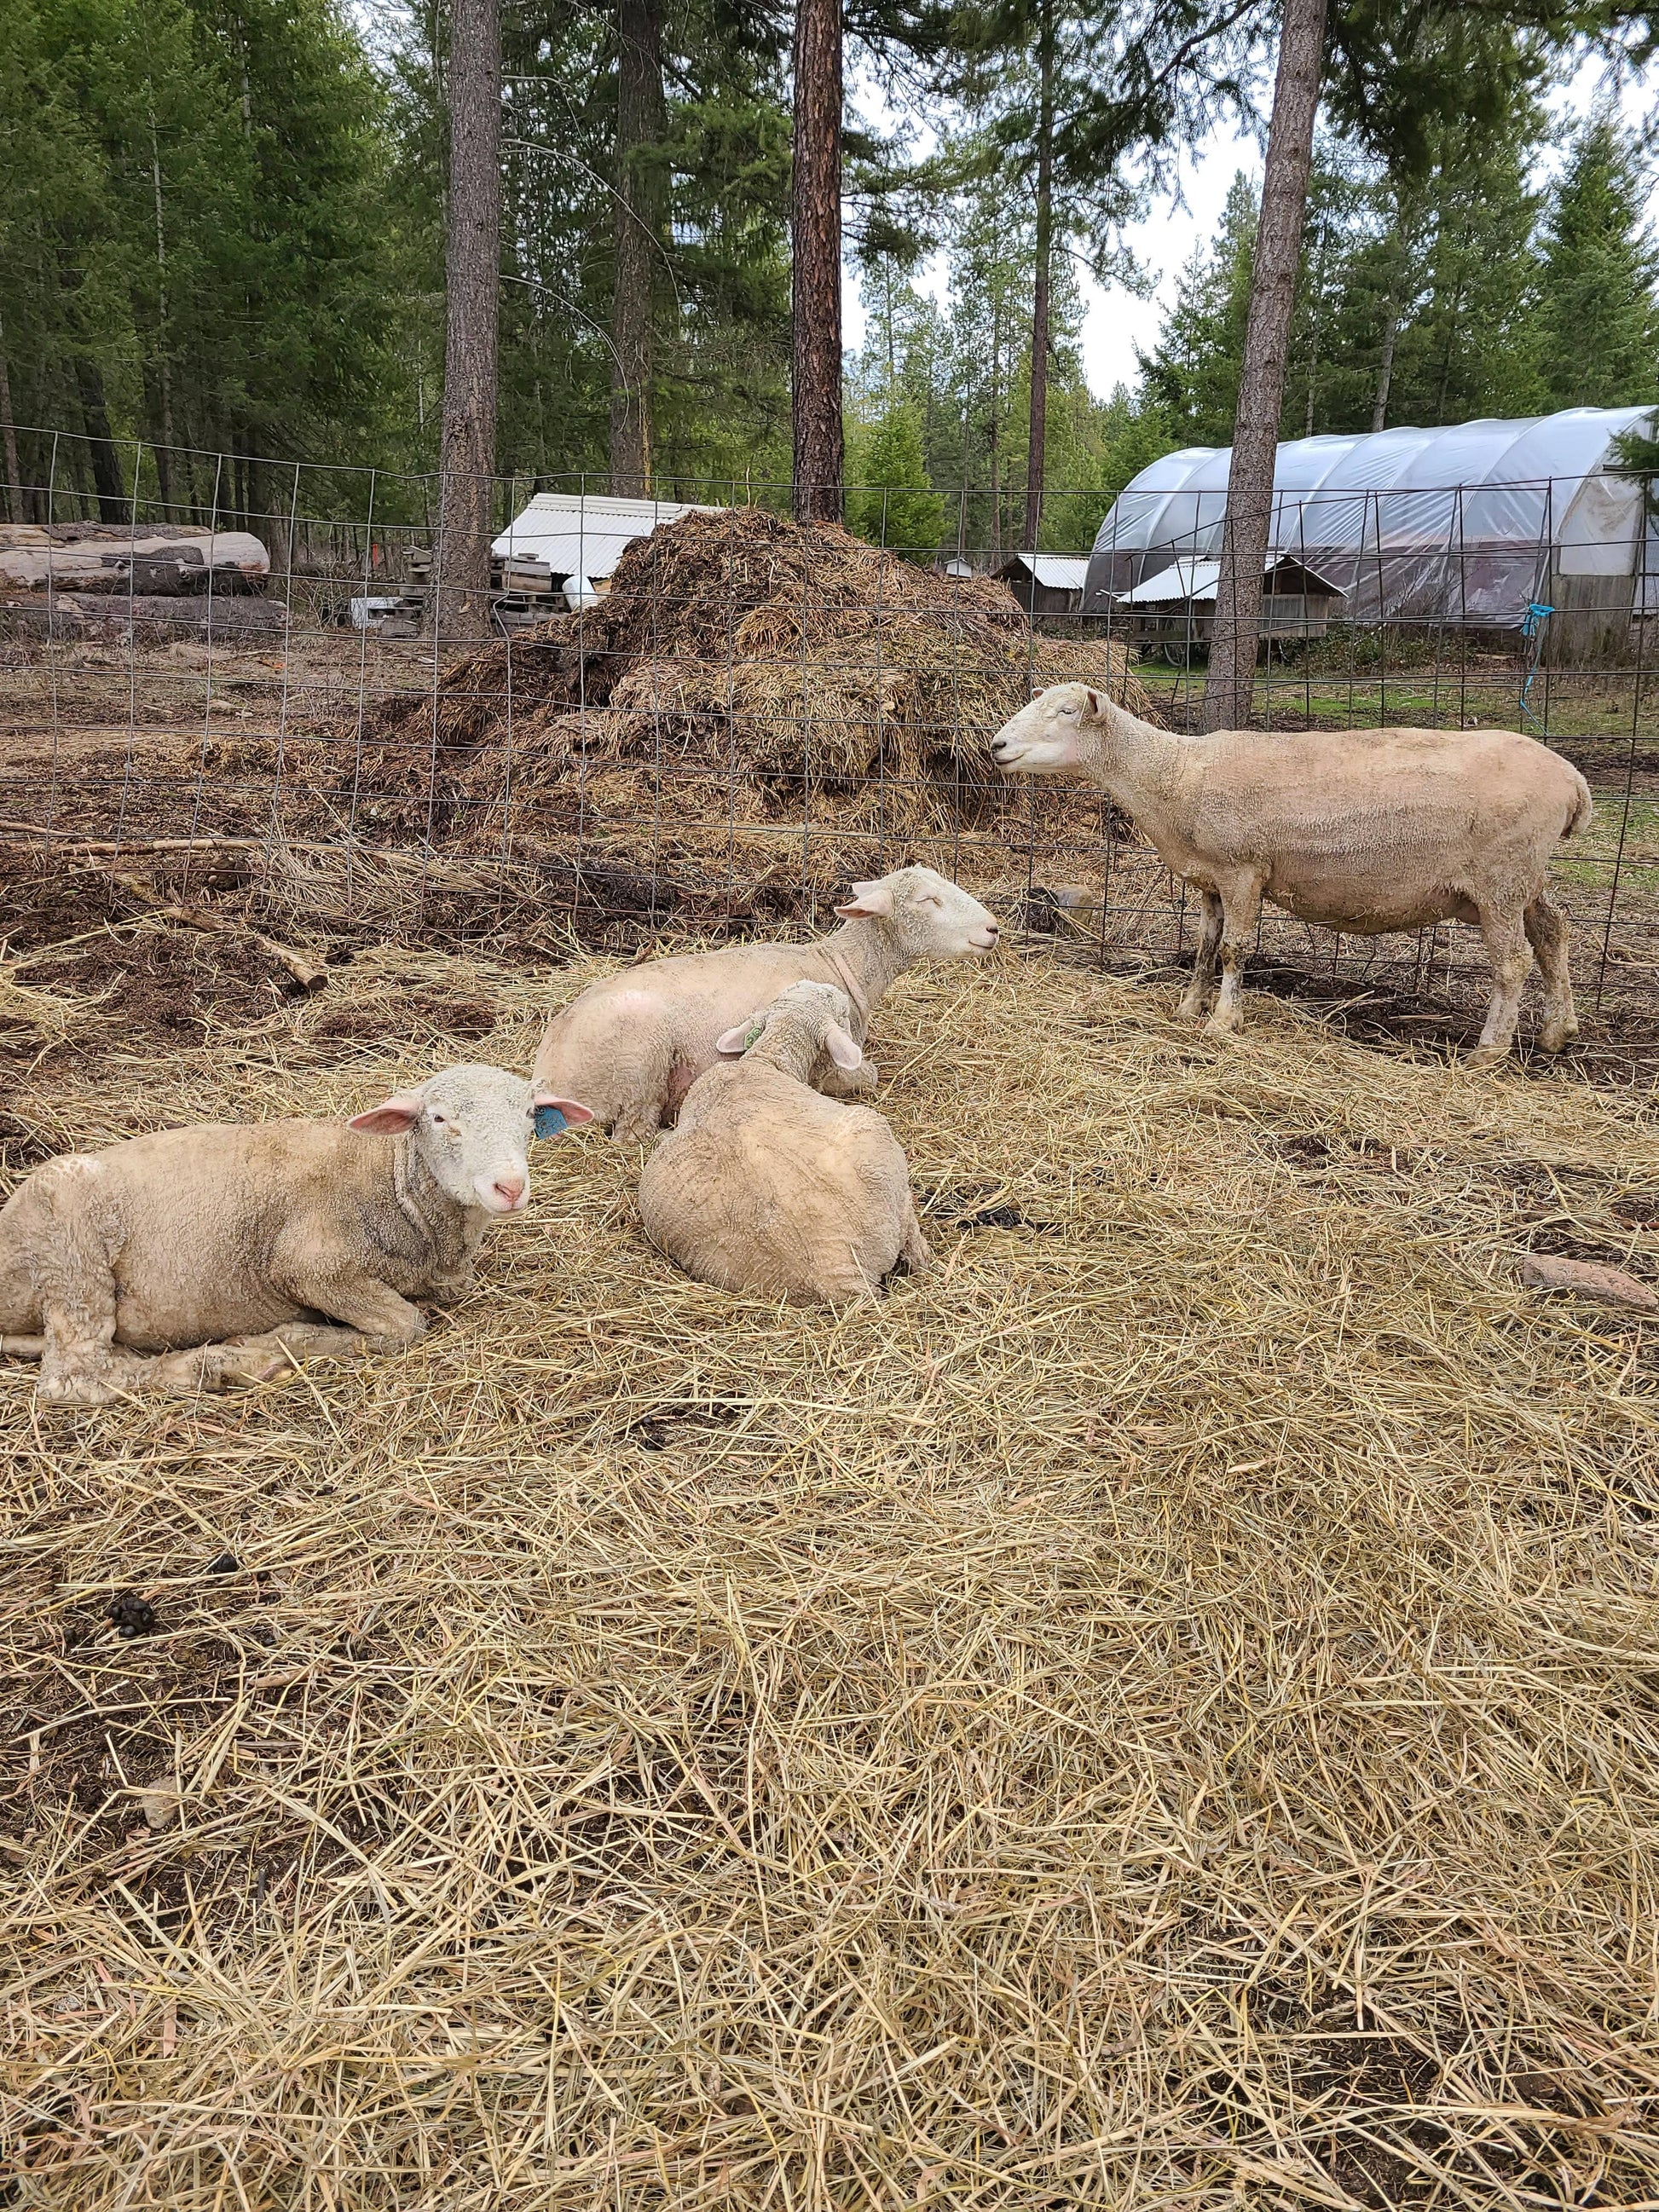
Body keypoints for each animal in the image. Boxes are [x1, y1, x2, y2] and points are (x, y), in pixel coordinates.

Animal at [0, 1064, 593, 1407]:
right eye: (440, 1118)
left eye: (529, 1114)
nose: (509, 1187)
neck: (393, 1184)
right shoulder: (309, 1267)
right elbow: (404, 1325)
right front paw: (290, 1338)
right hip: (69, 1255)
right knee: (72, 1376)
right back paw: (213, 1366)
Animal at [531, 864, 1000, 1143]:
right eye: (927, 900)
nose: (993, 928)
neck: (843, 966)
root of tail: (544, 1076)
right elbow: (866, 1077)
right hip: (639, 1065)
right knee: (633, 1130)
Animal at [990, 682, 1593, 1065]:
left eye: (1066, 712)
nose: (997, 744)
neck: (1175, 775)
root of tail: (1573, 781)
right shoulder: (1211, 878)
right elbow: (1204, 947)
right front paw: (1188, 1008)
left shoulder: (1241, 869)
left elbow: (1233, 950)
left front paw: (1222, 1021)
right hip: (1523, 876)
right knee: (1553, 932)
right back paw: (1556, 1032)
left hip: (1501, 877)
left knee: (1513, 961)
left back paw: (1489, 1052)